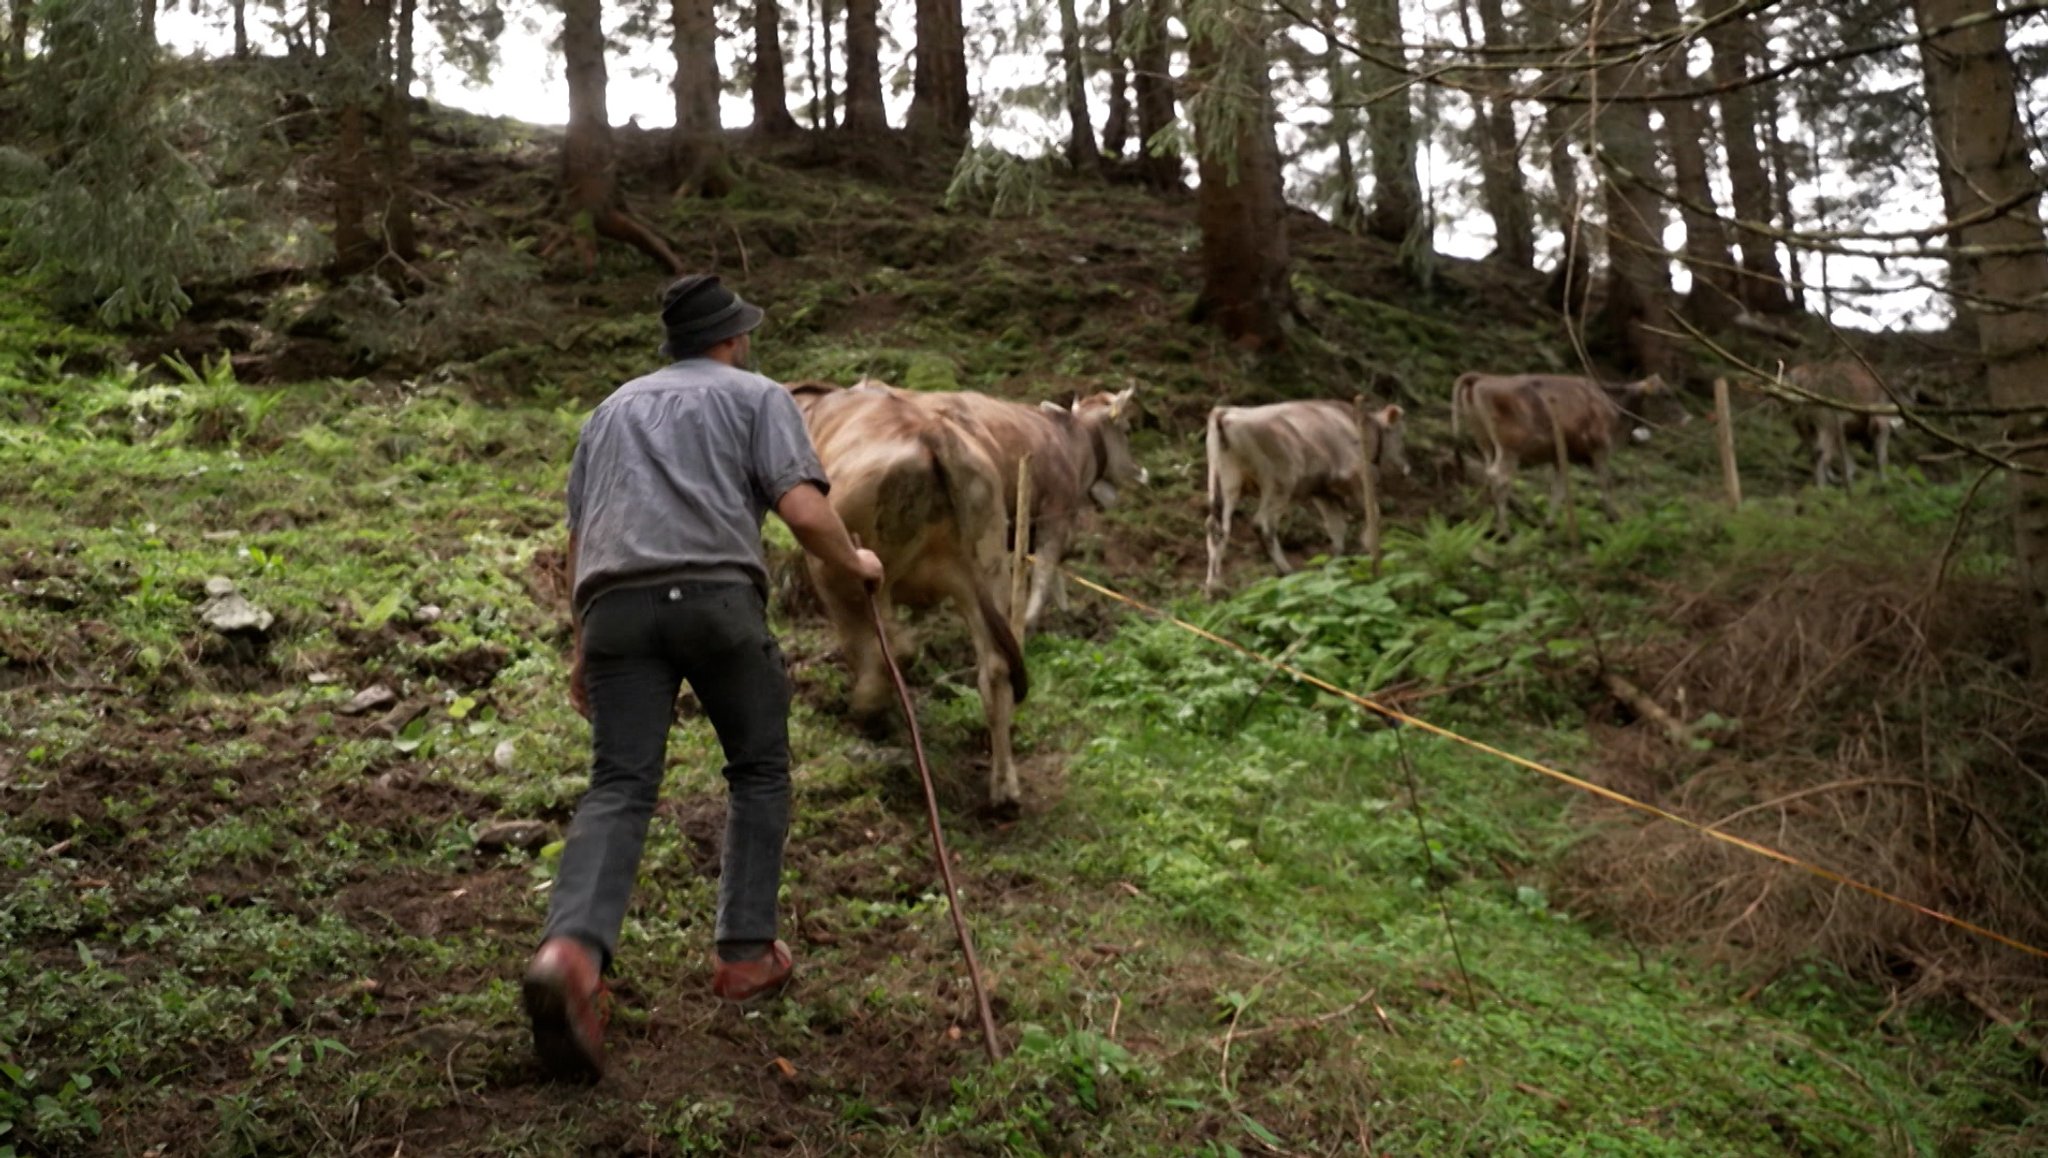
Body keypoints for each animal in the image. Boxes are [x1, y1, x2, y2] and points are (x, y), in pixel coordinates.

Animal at [790, 383, 1032, 807]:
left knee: (889, 645)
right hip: (983, 568)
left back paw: (867, 706)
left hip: (846, 569)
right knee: (996, 665)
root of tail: (934, 435)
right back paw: (1003, 789)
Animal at [1196, 397, 1409, 594]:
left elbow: (1336, 527)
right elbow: (1373, 513)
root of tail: (1225, 413)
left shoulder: (1322, 491)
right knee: (1262, 524)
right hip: (1280, 483)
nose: (1407, 469)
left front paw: (1338, 562)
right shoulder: (1355, 479)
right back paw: (1286, 571)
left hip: (1223, 482)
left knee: (1216, 528)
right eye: (1400, 434)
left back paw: (1214, 588)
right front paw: (1368, 551)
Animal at [1458, 373, 1662, 536]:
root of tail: (1481, 378)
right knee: (1500, 477)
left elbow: (1558, 489)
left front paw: (1549, 524)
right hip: (1510, 449)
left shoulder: (1560, 458)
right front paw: (1613, 517)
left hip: (1486, 444)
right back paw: (1504, 529)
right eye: (1664, 395)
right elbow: (1605, 484)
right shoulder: (1600, 450)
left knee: (1488, 474)